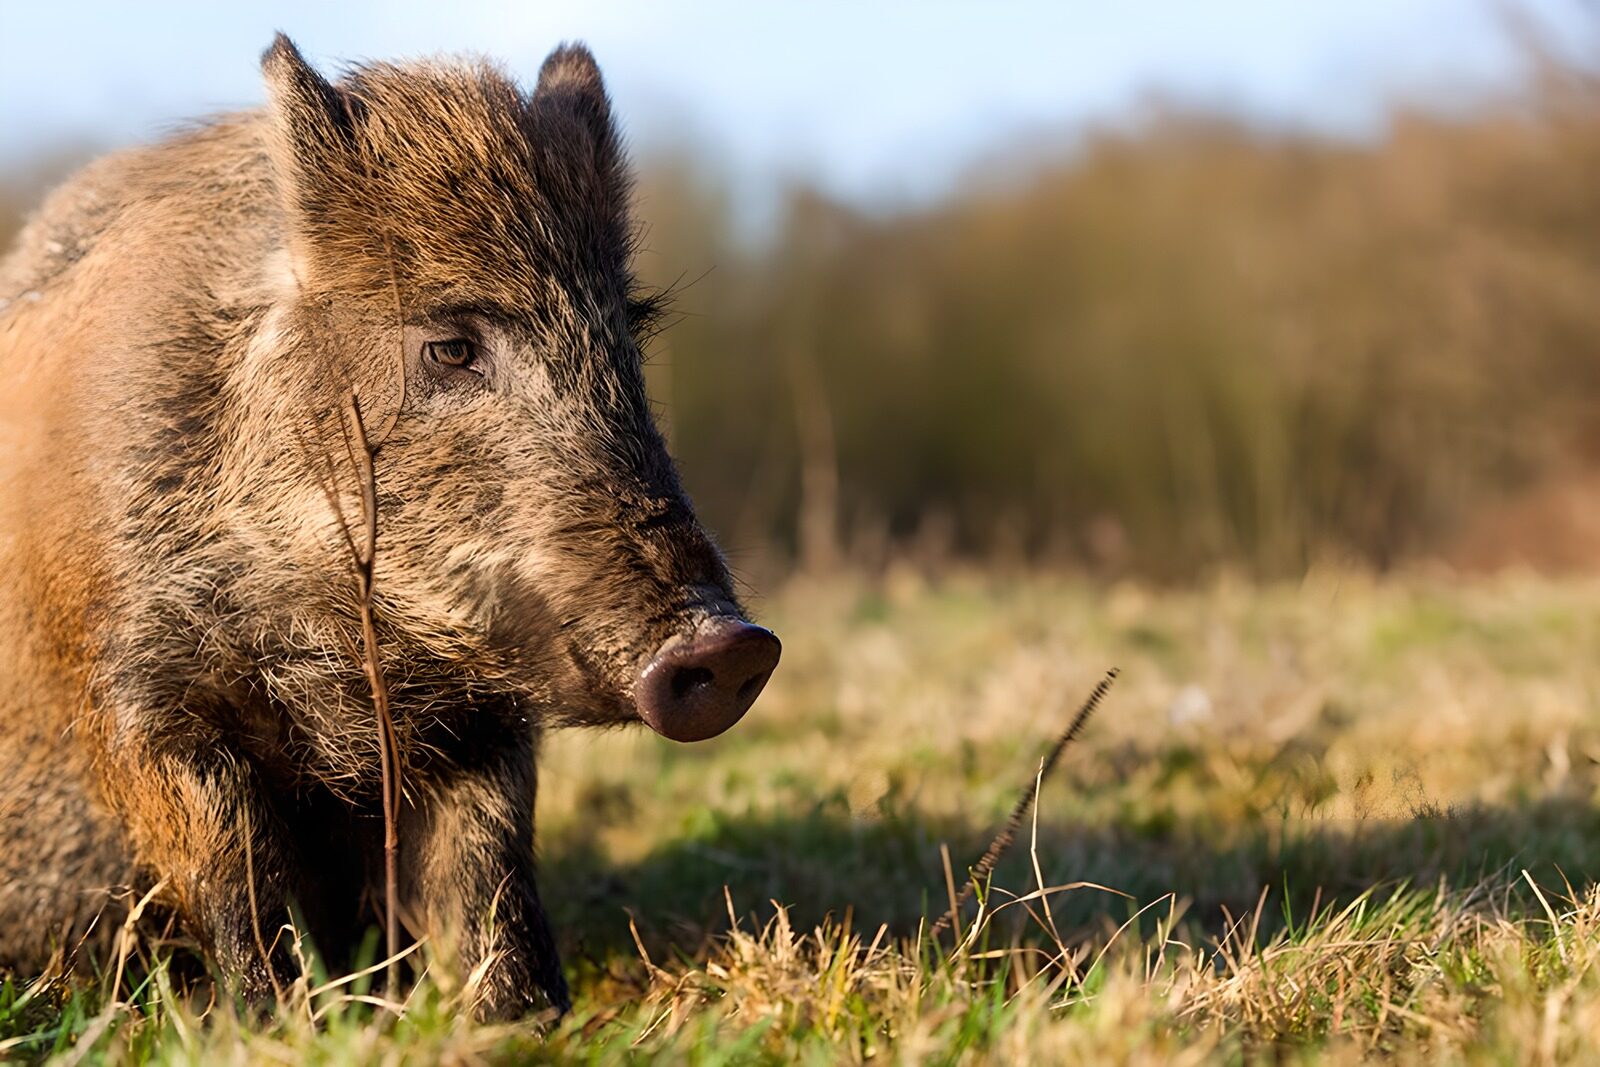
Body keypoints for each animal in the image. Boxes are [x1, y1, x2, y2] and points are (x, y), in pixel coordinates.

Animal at [0, 35, 780, 1020]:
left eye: (627, 342)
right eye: (450, 345)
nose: (733, 644)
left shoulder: (483, 720)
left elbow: (487, 872)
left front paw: (527, 1018)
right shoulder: (135, 696)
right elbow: (237, 871)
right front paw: (277, 1022)